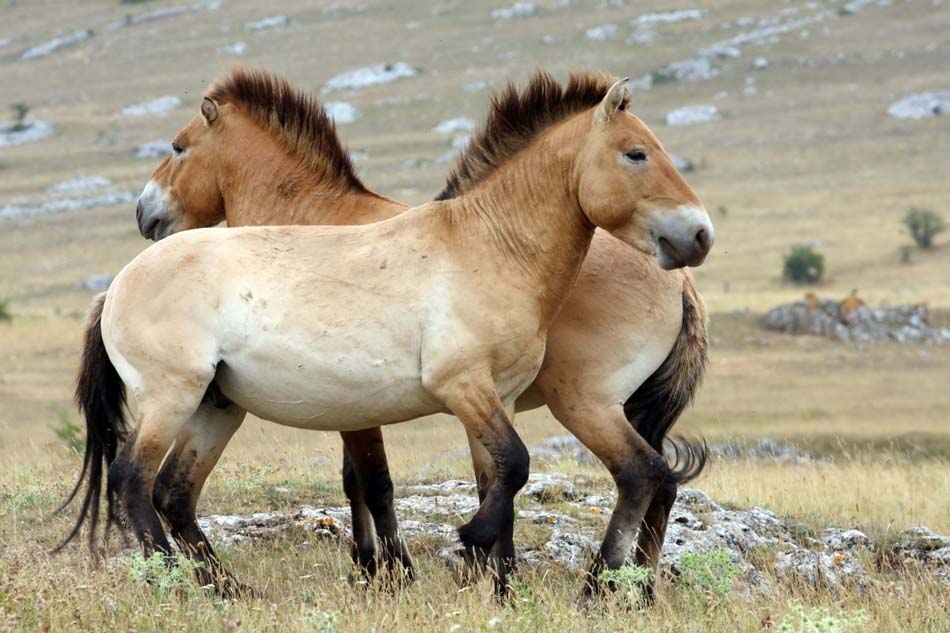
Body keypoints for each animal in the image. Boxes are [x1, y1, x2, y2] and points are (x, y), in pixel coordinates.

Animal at [64, 69, 713, 598]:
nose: (699, 235)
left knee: (171, 490)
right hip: (173, 397)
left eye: (178, 147)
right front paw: (442, 559)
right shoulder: (457, 389)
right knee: (135, 481)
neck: (486, 245)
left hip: (214, 405)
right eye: (636, 153)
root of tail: (116, 286)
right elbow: (485, 471)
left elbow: (497, 476)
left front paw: (492, 583)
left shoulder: (492, 397)